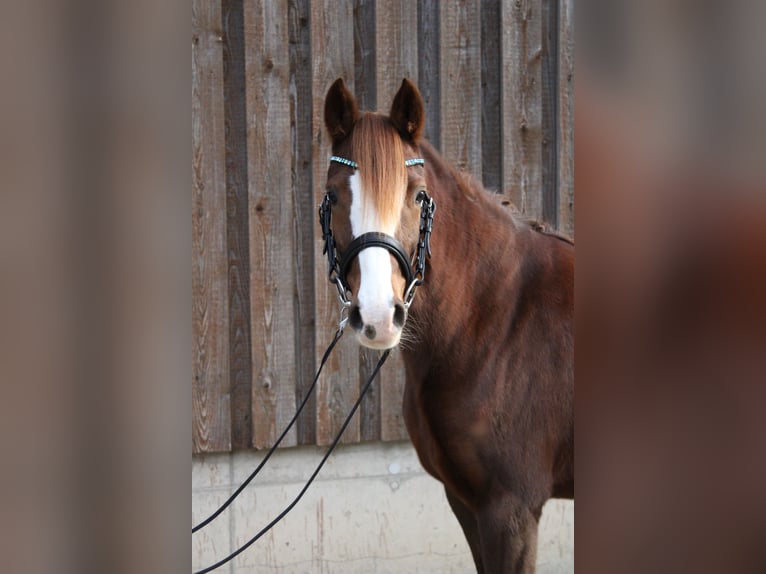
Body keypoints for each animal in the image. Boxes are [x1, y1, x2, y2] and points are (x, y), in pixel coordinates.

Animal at [320, 77, 572, 574]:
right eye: (335, 195)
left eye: (417, 194)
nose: (378, 316)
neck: (497, 323)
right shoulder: (465, 502)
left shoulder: (511, 511)